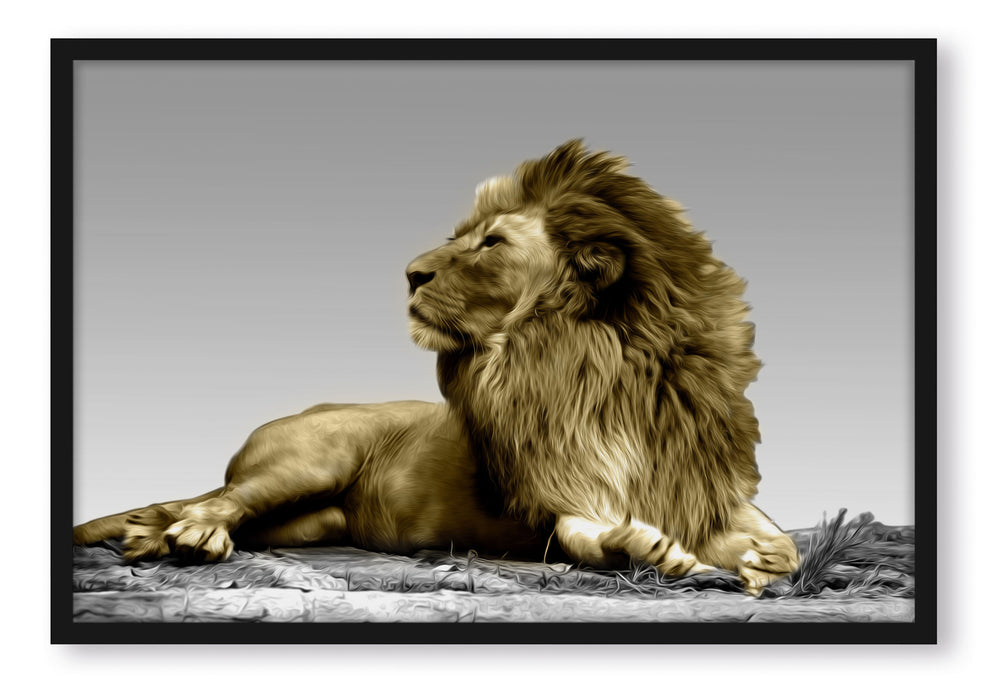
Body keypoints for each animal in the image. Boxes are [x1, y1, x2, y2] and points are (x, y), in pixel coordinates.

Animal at [73, 140, 799, 595]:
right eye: (459, 238)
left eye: (492, 243)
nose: (410, 273)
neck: (598, 366)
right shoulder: (556, 498)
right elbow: (587, 534)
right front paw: (640, 547)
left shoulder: (699, 488)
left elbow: (776, 541)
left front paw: (763, 556)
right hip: (310, 460)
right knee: (215, 501)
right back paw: (187, 536)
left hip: (316, 520)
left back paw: (156, 535)